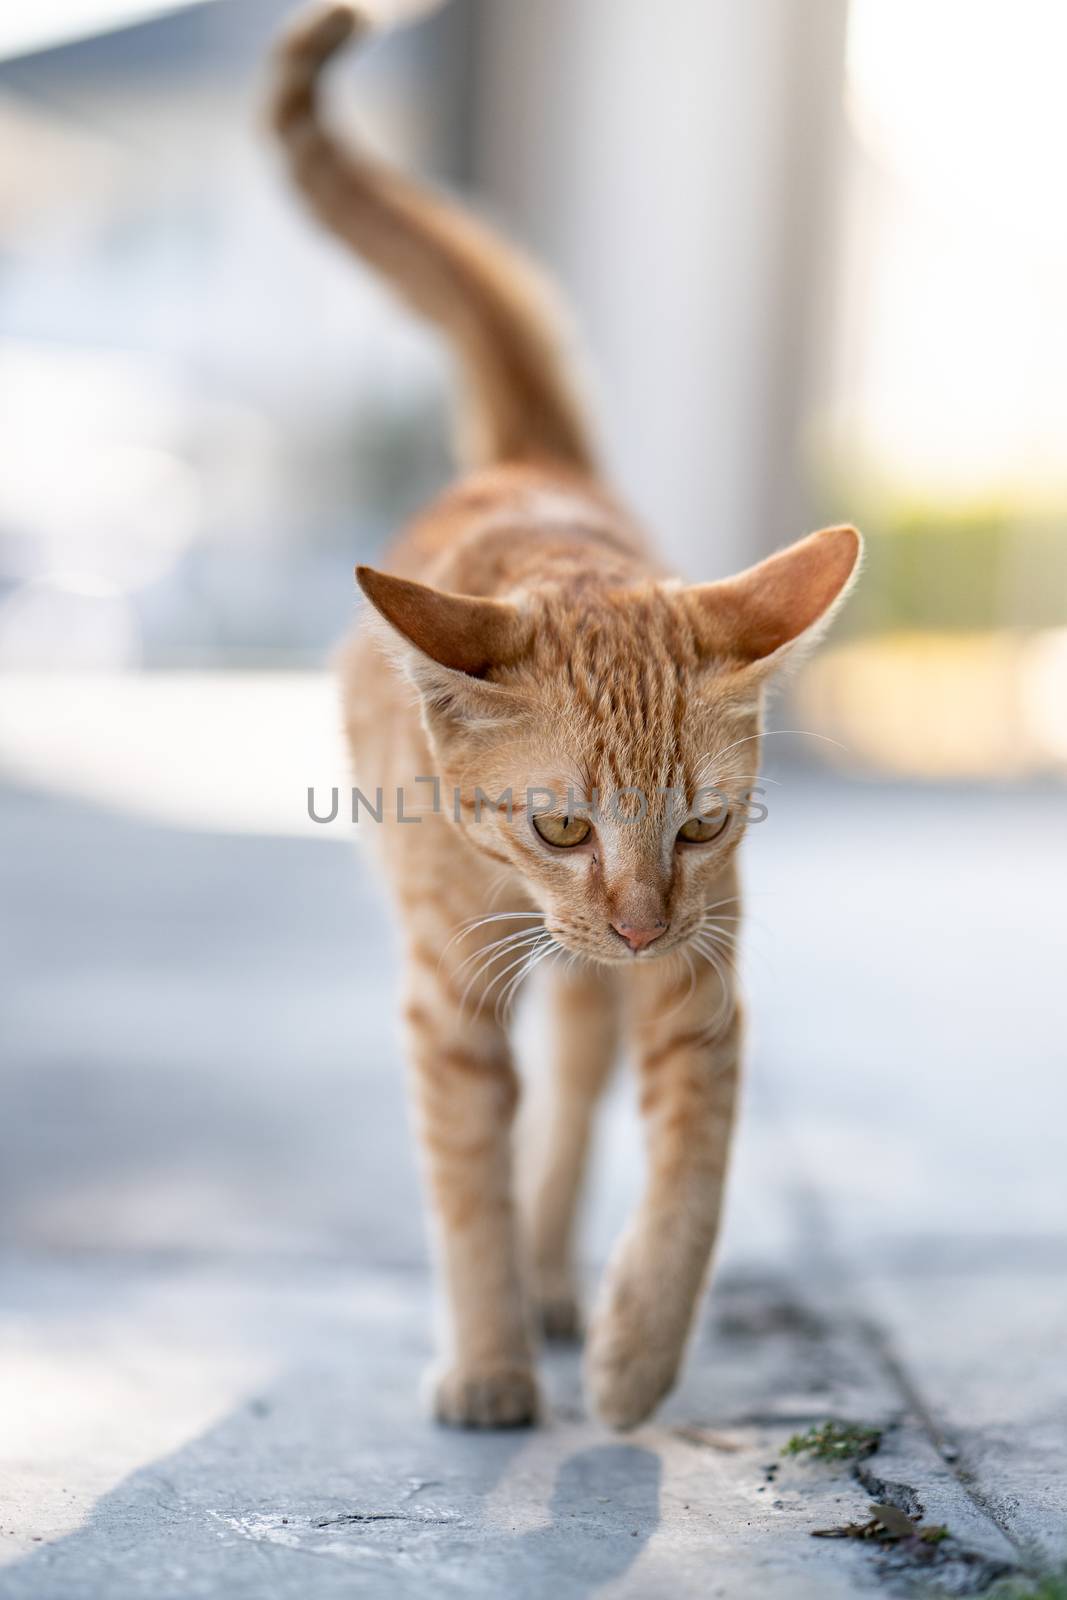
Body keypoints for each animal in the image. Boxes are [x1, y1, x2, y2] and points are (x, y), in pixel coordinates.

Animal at [271, 6, 863, 1433]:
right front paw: (488, 1359)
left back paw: (559, 1282)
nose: (638, 918)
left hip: (606, 991)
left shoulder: (700, 982)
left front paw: (636, 1347)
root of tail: (529, 462)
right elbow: (464, 1183)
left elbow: (691, 1175)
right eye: (557, 827)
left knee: (577, 1104)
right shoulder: (447, 996)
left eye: (700, 826)